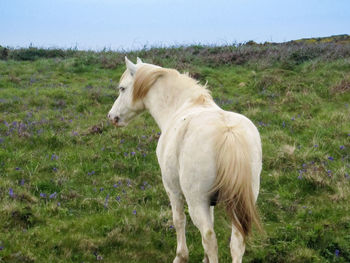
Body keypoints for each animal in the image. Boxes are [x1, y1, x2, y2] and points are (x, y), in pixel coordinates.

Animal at [108, 57, 262, 263]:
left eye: (122, 88)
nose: (112, 116)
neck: (183, 105)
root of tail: (228, 132)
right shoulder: (210, 202)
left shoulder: (172, 189)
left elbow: (179, 220)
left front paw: (181, 256)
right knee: (236, 243)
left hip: (196, 201)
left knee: (209, 238)